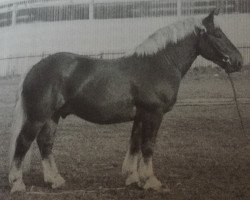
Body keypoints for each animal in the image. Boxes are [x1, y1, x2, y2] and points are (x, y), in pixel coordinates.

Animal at [9, 8, 242, 193]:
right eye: (218, 34)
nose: (238, 61)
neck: (159, 63)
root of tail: (35, 67)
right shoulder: (153, 114)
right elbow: (148, 146)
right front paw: (151, 181)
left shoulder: (140, 116)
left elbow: (135, 145)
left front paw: (133, 177)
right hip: (37, 117)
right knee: (23, 143)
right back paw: (17, 184)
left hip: (53, 116)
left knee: (45, 143)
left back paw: (55, 180)